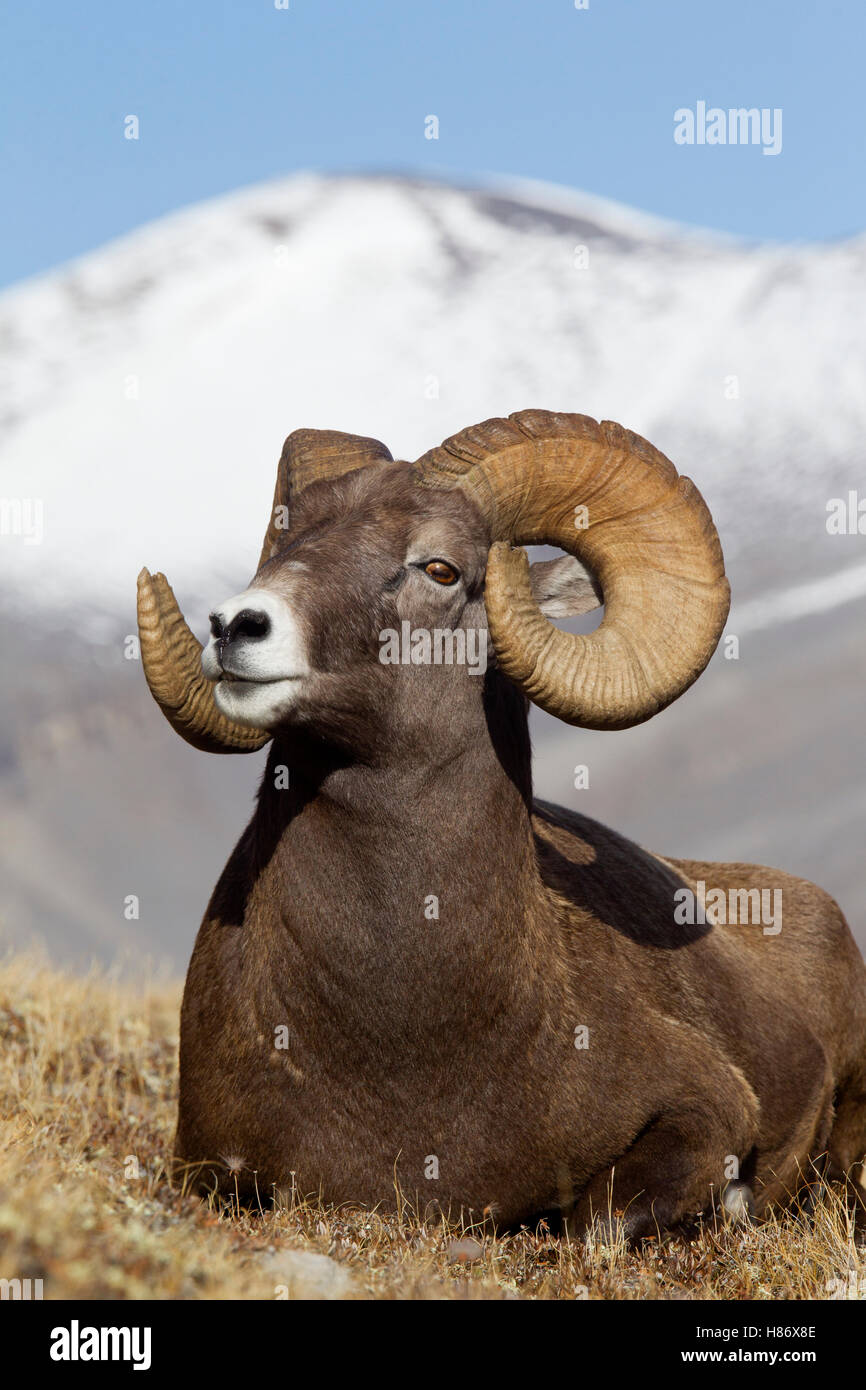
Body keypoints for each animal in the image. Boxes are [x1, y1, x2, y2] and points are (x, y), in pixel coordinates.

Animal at [137, 410, 866, 1237]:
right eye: (289, 538)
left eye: (441, 569)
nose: (236, 627)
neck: (397, 1034)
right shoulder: (207, 1166)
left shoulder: (707, 1108)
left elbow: (599, 1220)